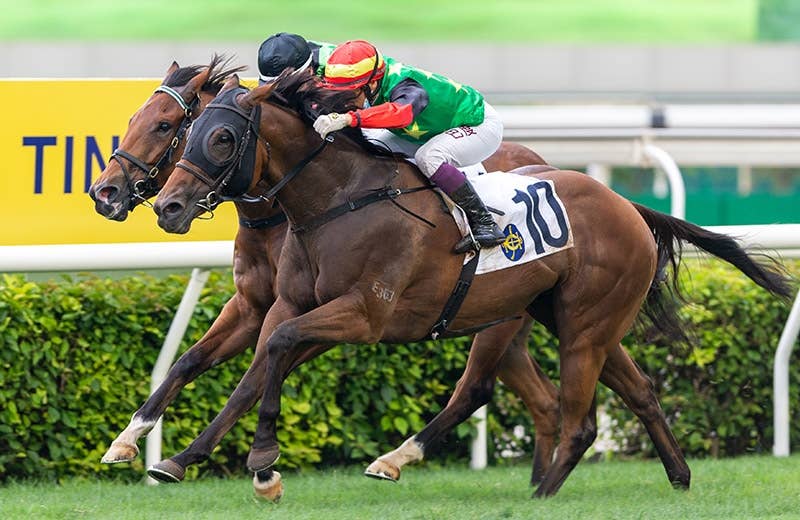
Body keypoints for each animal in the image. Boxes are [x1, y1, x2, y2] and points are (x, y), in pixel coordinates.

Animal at [87, 57, 564, 487]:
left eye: (166, 126)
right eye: (134, 118)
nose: (104, 193)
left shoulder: (338, 311)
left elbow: (257, 374)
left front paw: (235, 458)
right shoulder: (254, 305)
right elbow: (189, 360)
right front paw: (127, 438)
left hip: (496, 317)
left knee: (477, 387)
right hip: (502, 314)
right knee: (542, 397)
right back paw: (541, 479)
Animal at [151, 70, 791, 500]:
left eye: (222, 138)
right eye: (188, 131)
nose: (168, 206)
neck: (339, 200)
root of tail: (627, 204)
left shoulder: (364, 315)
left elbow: (277, 351)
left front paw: (262, 460)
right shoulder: (290, 304)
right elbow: (258, 366)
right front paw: (184, 457)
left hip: (577, 326)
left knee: (562, 414)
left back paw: (529, 492)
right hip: (572, 318)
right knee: (640, 391)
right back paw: (678, 477)